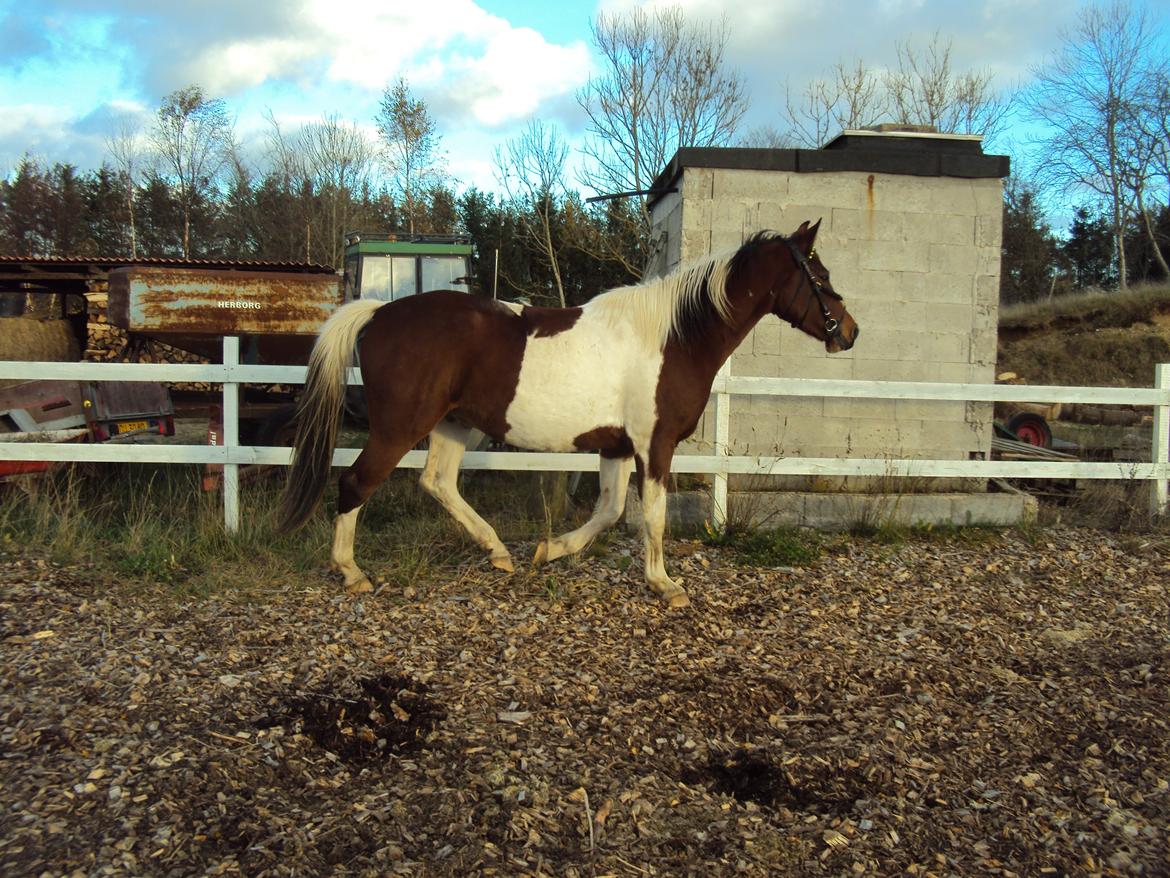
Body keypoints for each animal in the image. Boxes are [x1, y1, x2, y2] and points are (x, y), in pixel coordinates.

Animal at [277, 221, 856, 604]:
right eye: (819, 275)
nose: (849, 332)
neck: (674, 337)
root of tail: (377, 311)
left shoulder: (616, 447)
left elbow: (609, 511)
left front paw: (550, 550)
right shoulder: (655, 445)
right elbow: (653, 515)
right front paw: (665, 585)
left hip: (452, 424)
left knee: (438, 482)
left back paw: (499, 553)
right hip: (400, 427)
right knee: (356, 482)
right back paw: (352, 572)